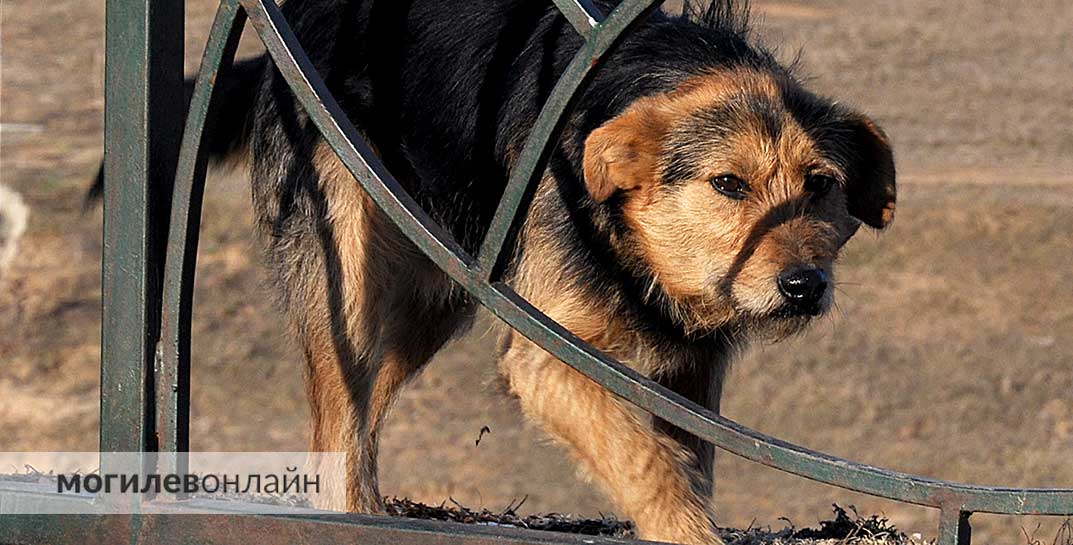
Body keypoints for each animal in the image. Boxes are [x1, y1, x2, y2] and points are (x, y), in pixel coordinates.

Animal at [94, 2, 897, 542]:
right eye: (728, 184)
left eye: (821, 185)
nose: (804, 286)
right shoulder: (551, 358)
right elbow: (646, 461)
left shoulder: (689, 374)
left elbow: (685, 460)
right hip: (346, 281)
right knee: (337, 429)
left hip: (433, 293)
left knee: (367, 405)